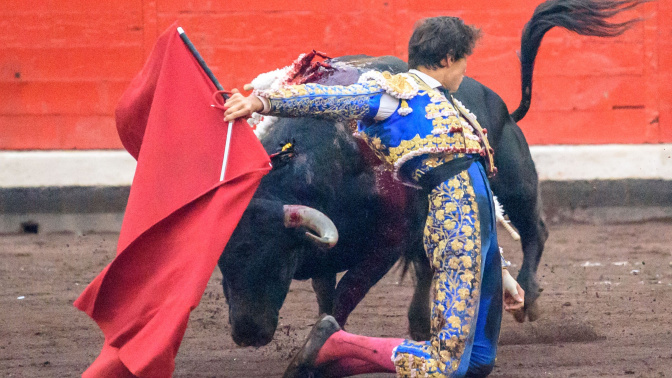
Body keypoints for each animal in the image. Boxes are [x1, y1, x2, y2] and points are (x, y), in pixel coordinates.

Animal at [218, 0, 644, 348]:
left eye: (273, 257)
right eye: (221, 263)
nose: (248, 334)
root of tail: (503, 104)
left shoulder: (386, 244)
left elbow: (345, 294)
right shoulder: (328, 249)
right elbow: (328, 295)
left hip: (516, 184)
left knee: (534, 230)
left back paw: (526, 296)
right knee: (429, 265)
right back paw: (423, 324)